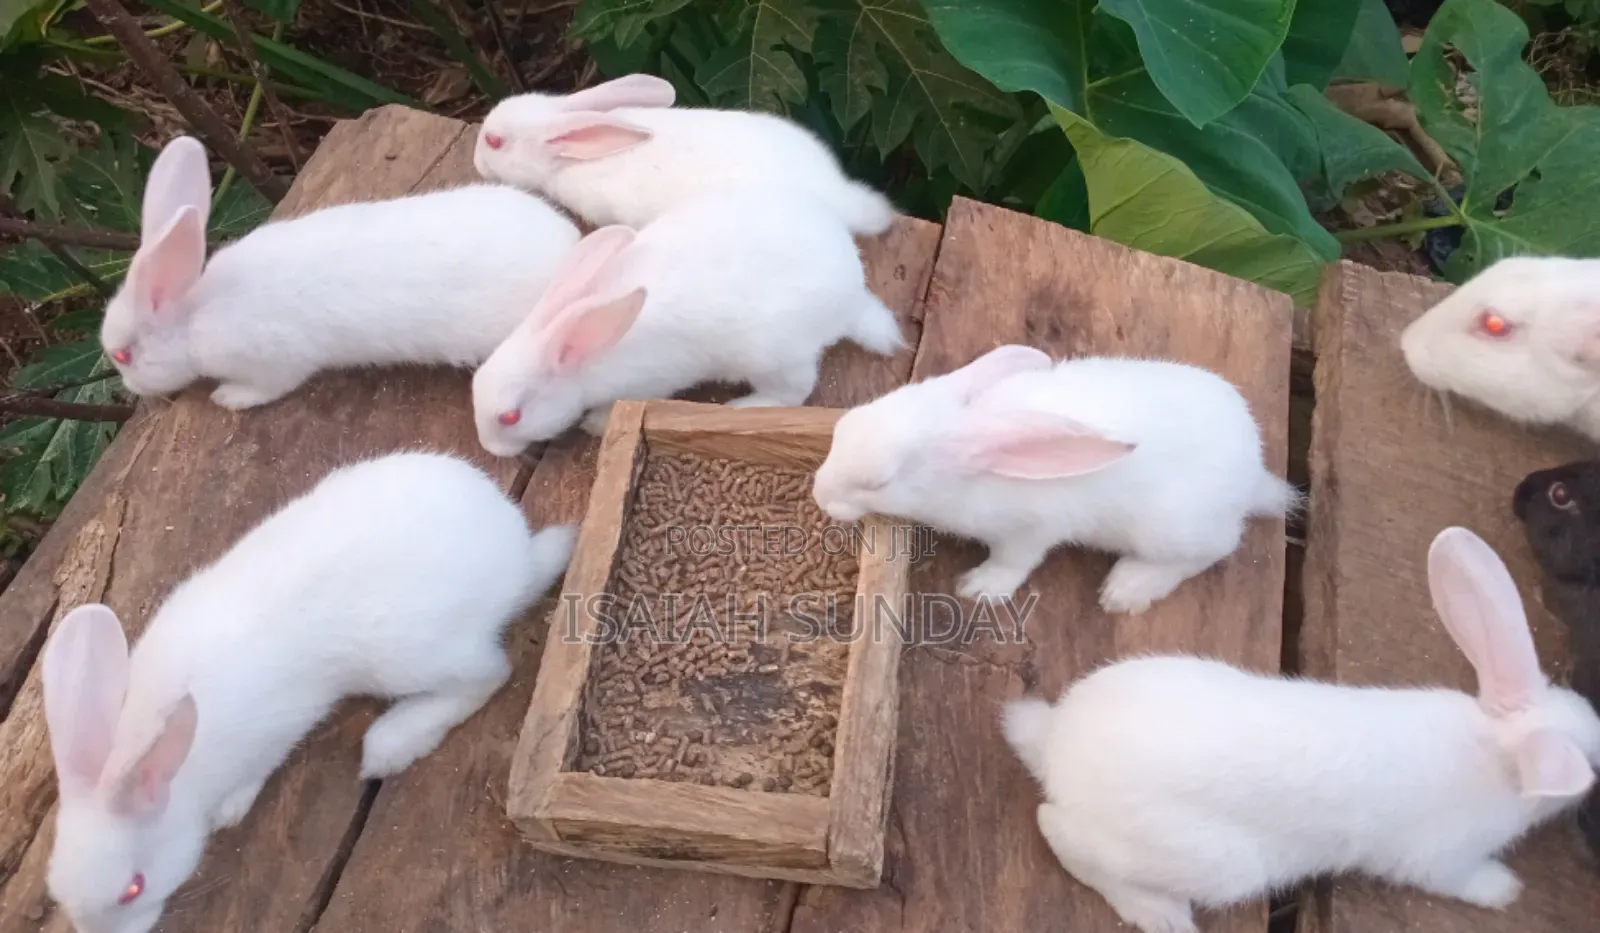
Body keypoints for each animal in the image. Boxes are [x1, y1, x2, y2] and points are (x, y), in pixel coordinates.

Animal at [40, 451, 576, 933]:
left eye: (134, 888)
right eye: (55, 891)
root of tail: (518, 555)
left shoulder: (269, 733)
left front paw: (231, 810)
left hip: (408, 653)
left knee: (488, 674)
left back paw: (391, 742)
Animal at [100, 134, 580, 411]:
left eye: (123, 356)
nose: (130, 388)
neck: (193, 314)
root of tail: (570, 244)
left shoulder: (273, 362)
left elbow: (265, 388)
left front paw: (226, 398)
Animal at [471, 185, 904, 457]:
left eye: (510, 417)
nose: (491, 449)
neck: (583, 364)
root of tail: (851, 294)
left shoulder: (643, 384)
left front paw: (594, 423)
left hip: (772, 355)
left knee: (793, 392)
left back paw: (743, 405)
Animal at [810, 345, 1296, 614]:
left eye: (879, 483)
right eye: (842, 428)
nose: (819, 494)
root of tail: (1252, 475)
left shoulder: (1031, 531)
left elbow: (1013, 562)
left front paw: (978, 588)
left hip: (1173, 530)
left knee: (1212, 552)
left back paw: (1126, 589)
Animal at [1001, 527, 1600, 933]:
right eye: (1591, 761)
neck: (1501, 754)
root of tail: (1058, 750)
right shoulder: (1439, 859)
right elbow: (1463, 880)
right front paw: (1505, 890)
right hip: (1216, 864)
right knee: (1057, 831)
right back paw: (1161, 913)